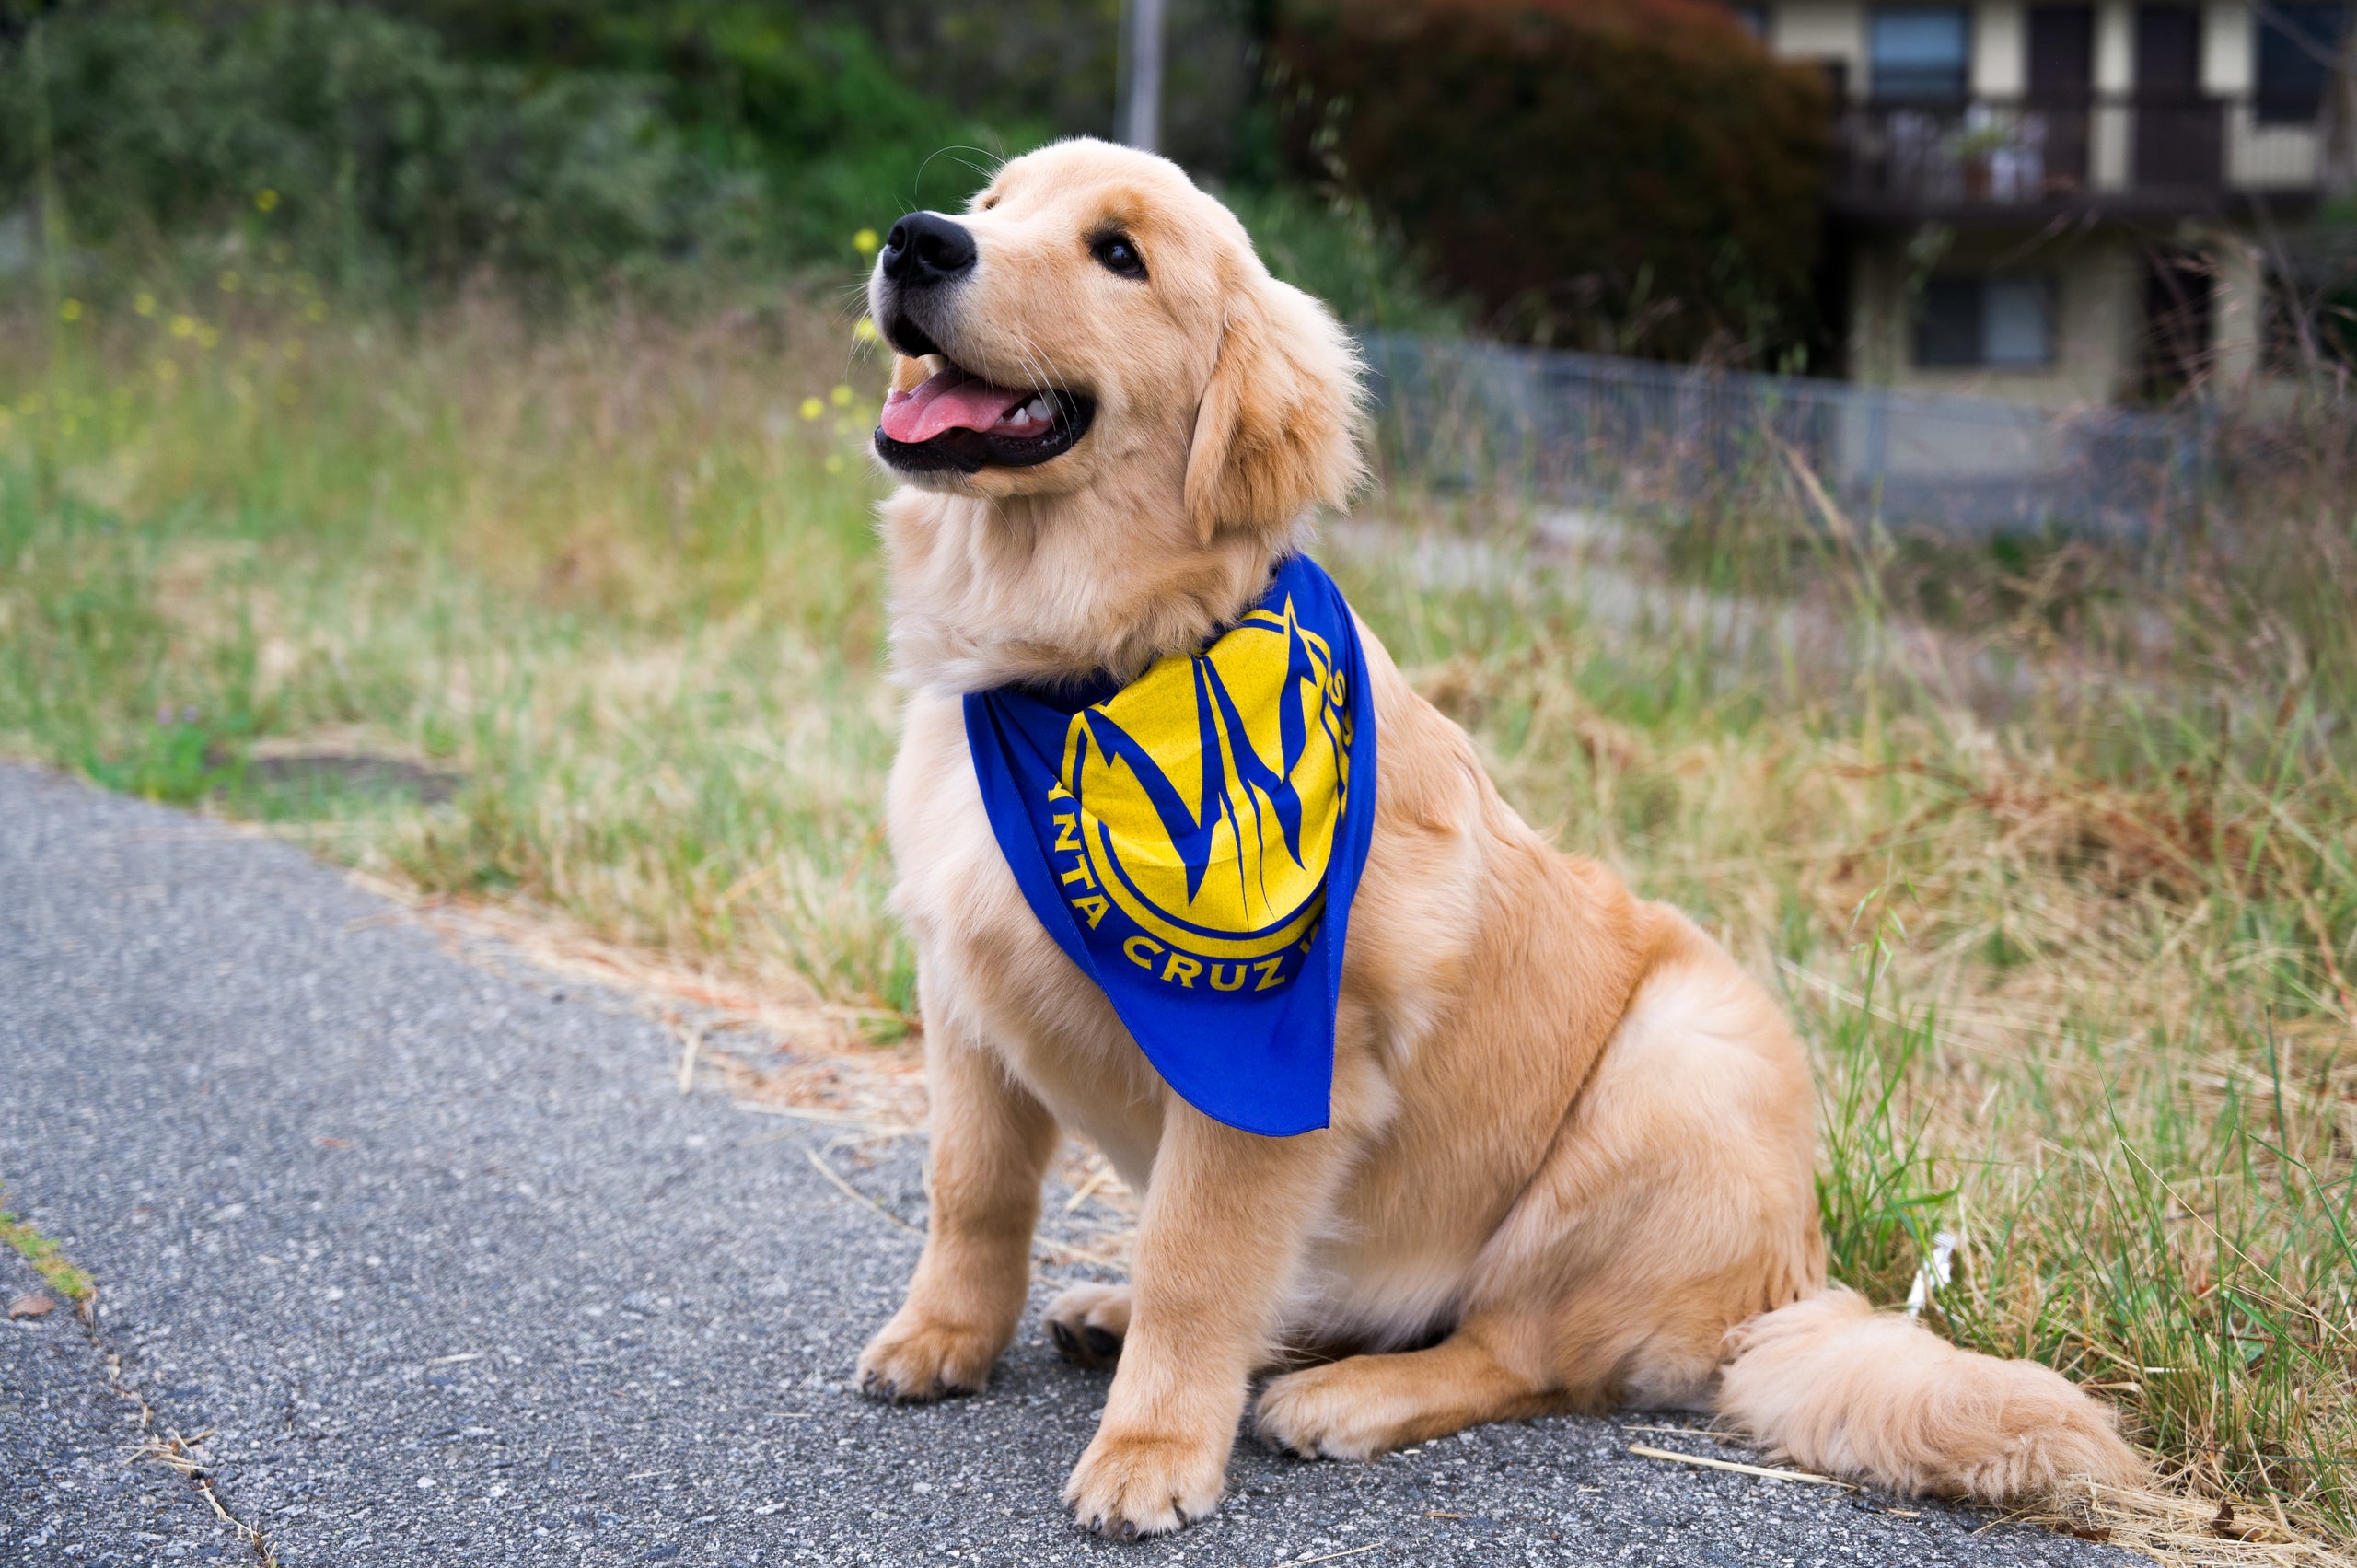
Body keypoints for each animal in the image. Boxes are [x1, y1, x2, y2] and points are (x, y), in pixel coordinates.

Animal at [857, 134, 2149, 1527]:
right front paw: (944, 1336)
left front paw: (1151, 1450)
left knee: (1517, 1350)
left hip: (1669, 1070)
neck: (1086, 672)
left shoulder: (1284, 1071)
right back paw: (1121, 1307)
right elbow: (972, 1188)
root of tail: (1786, 1283)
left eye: (1118, 254)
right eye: (994, 206)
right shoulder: (961, 985)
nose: (918, 239)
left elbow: (1202, 1261)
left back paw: (1344, 1395)